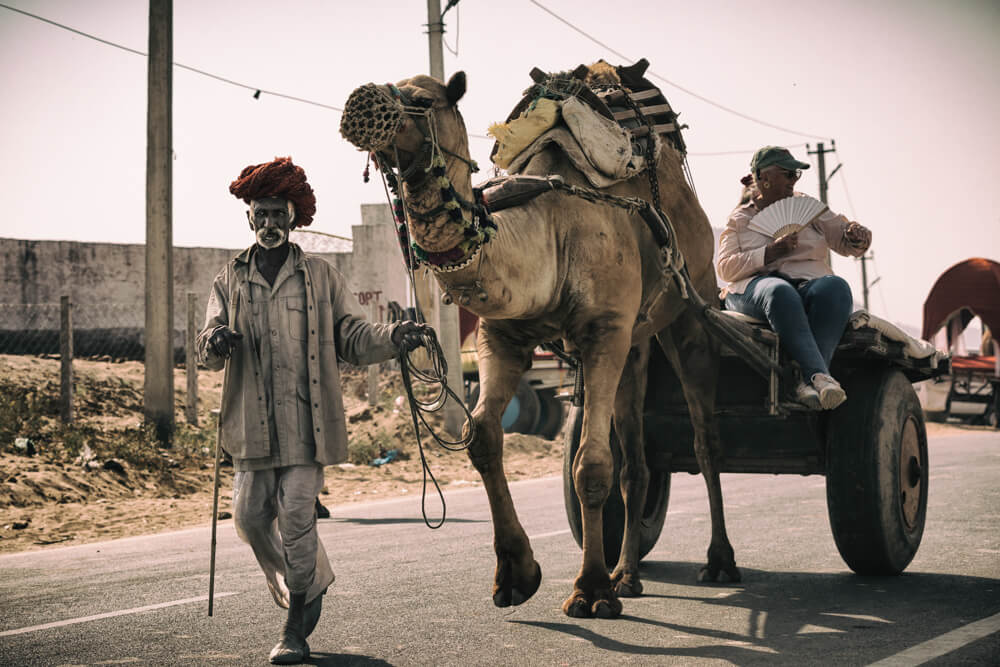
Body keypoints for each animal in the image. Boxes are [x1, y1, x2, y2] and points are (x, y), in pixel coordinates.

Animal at [340, 64, 740, 620]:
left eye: (422, 99)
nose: (361, 102)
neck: (548, 232)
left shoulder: (603, 331)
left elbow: (590, 464)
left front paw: (590, 591)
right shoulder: (503, 335)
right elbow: (483, 436)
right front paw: (515, 574)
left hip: (690, 302)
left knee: (704, 440)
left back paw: (718, 561)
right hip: (635, 342)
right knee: (637, 462)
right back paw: (628, 574)